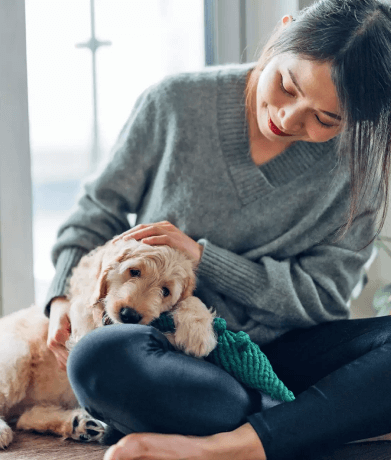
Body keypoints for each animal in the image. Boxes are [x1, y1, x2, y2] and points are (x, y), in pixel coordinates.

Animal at [0, 237, 217, 450]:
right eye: (134, 271)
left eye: (165, 291)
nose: (129, 315)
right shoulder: (84, 327)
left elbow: (190, 299)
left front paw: (198, 332)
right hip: (16, 358)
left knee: (25, 418)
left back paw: (79, 424)